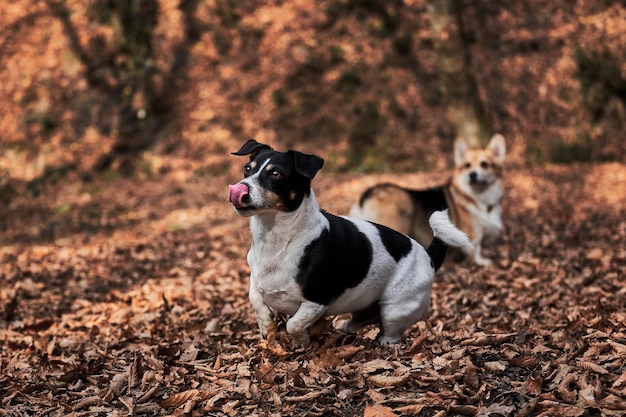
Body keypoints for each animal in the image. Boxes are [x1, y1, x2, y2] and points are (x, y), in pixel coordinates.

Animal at [228, 140, 468, 344]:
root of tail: (428, 255)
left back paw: (383, 343)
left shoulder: (316, 301)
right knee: (359, 320)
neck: (278, 240)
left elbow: (294, 325)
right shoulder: (256, 279)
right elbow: (255, 298)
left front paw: (302, 342)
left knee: (391, 332)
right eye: (247, 169)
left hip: (396, 308)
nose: (240, 188)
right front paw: (265, 326)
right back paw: (344, 328)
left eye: (276, 174)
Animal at [348, 135, 504, 264]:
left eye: (484, 164)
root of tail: (369, 193)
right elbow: (475, 248)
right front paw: (482, 262)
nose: (472, 175)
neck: (477, 196)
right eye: (467, 165)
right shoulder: (473, 232)